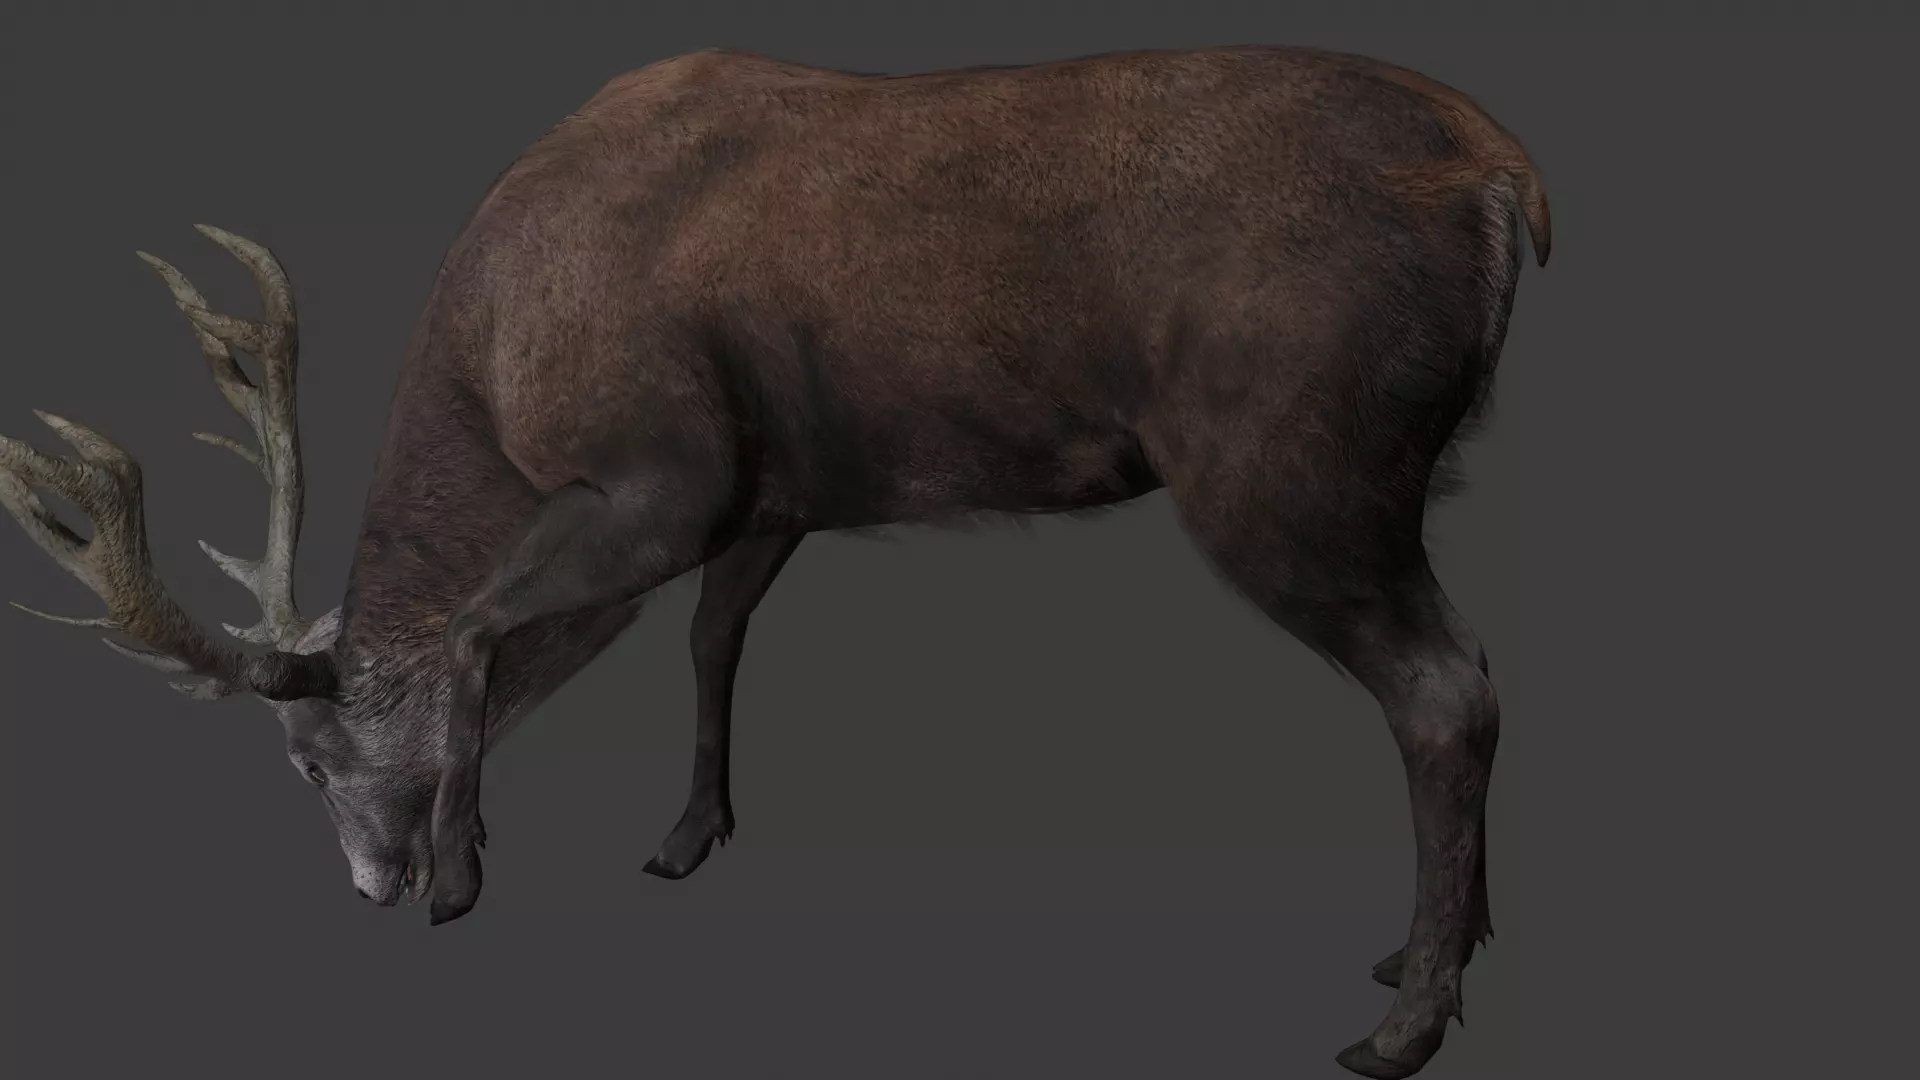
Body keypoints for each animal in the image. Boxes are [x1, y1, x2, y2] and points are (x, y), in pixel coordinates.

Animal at [0, 45, 1549, 1079]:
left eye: (309, 763)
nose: (368, 885)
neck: (498, 370)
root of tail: (1507, 177)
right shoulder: (769, 494)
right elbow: (711, 638)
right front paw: (687, 833)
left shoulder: (663, 467)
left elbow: (483, 627)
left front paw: (464, 873)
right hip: (1372, 476)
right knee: (1476, 668)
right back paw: (1445, 950)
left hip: (1290, 464)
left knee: (1441, 688)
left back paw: (1401, 1024)